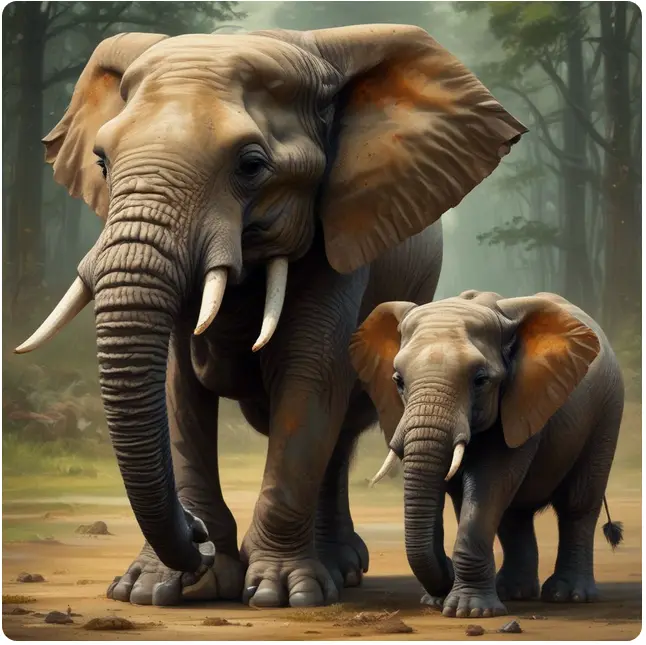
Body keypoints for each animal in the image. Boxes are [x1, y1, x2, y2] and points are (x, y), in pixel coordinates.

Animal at [15, 26, 526, 608]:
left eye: (251, 165)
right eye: (102, 162)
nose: (195, 536)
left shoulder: (341, 232)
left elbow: (309, 374)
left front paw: (281, 594)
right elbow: (178, 390)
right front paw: (156, 588)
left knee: (339, 428)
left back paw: (341, 567)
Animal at [350, 290, 624, 618]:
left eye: (480, 380)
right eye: (398, 381)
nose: (446, 573)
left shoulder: (518, 400)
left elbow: (489, 481)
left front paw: (469, 612)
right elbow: (463, 492)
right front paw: (441, 602)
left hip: (607, 412)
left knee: (578, 504)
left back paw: (567, 596)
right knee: (514, 514)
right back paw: (513, 592)